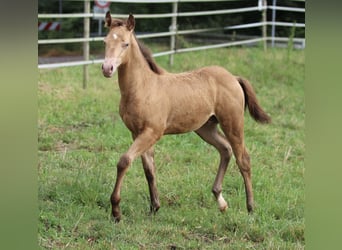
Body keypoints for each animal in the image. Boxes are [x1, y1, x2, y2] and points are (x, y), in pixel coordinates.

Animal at [101, 12, 270, 223]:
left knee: (243, 159)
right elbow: (149, 170)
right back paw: (221, 201)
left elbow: (124, 161)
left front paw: (116, 211)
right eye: (105, 41)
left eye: (125, 44)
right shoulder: (137, 133)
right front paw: (154, 207)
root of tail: (233, 77)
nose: (107, 68)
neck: (144, 87)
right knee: (225, 149)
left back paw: (250, 208)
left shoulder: (152, 132)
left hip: (233, 122)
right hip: (206, 127)